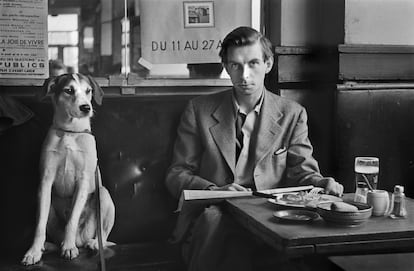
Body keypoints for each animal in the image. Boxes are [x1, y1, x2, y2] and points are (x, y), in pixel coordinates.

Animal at [21, 74, 115, 266]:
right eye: (69, 90)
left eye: (88, 91)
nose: (86, 107)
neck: (70, 132)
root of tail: (81, 239)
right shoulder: (45, 182)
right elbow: (40, 225)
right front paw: (34, 251)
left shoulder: (83, 182)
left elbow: (72, 219)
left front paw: (69, 248)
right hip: (46, 204)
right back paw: (48, 246)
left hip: (103, 194)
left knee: (102, 233)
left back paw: (93, 243)